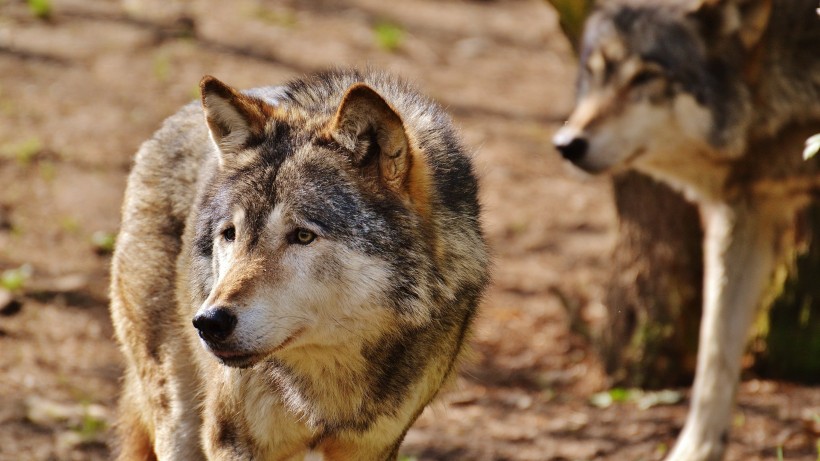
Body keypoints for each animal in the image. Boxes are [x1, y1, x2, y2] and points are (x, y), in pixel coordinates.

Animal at [111, 69, 490, 460]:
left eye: (303, 236)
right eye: (230, 234)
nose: (209, 322)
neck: (327, 384)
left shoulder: (374, 447)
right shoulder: (231, 441)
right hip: (177, 419)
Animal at [552, 0, 820, 458]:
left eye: (646, 76)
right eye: (594, 71)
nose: (567, 144)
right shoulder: (744, 214)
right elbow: (715, 351)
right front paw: (696, 450)